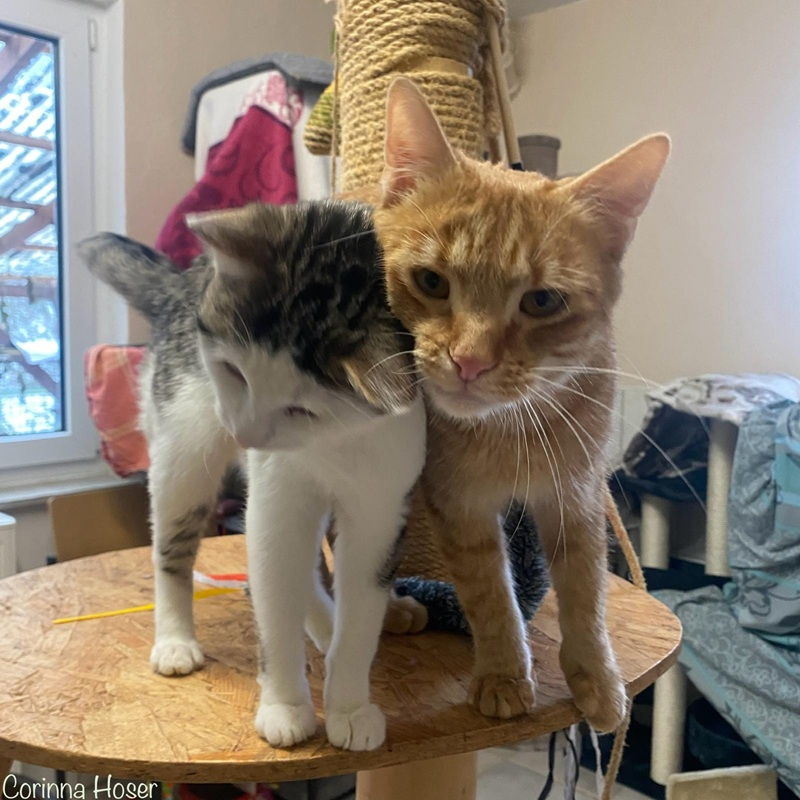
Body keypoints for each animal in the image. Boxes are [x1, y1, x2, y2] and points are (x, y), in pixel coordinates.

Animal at [79, 200, 426, 751]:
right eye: (234, 372)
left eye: (302, 409)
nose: (244, 434)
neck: (333, 443)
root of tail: (183, 282)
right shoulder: (276, 494)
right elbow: (273, 594)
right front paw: (285, 706)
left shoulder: (382, 502)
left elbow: (359, 611)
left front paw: (349, 704)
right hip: (182, 453)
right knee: (173, 549)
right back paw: (175, 638)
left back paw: (325, 625)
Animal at [368, 78, 670, 731]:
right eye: (431, 281)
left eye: (542, 301)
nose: (469, 361)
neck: (506, 430)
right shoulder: (461, 505)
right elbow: (489, 592)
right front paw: (506, 672)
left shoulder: (576, 495)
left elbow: (585, 589)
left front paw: (596, 677)